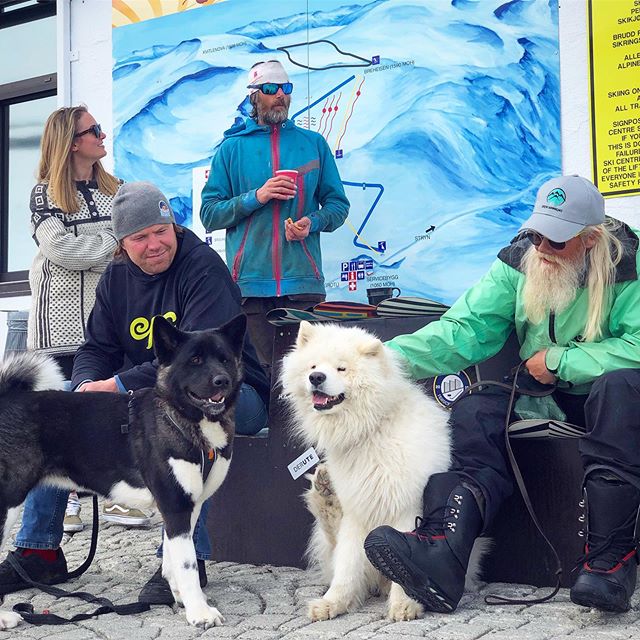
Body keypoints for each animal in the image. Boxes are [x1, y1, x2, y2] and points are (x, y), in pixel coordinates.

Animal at [0, 316, 248, 632]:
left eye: (225, 359)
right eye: (195, 360)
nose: (222, 381)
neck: (182, 418)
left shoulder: (186, 507)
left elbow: (173, 558)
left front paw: (179, 596)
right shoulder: (176, 506)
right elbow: (187, 564)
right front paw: (200, 611)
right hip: (6, 503)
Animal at [282, 322, 452, 624]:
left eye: (341, 368)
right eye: (313, 365)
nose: (316, 377)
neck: (370, 430)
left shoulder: (405, 508)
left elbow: (403, 568)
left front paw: (405, 604)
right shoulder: (356, 509)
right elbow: (346, 565)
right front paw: (333, 603)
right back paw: (324, 491)